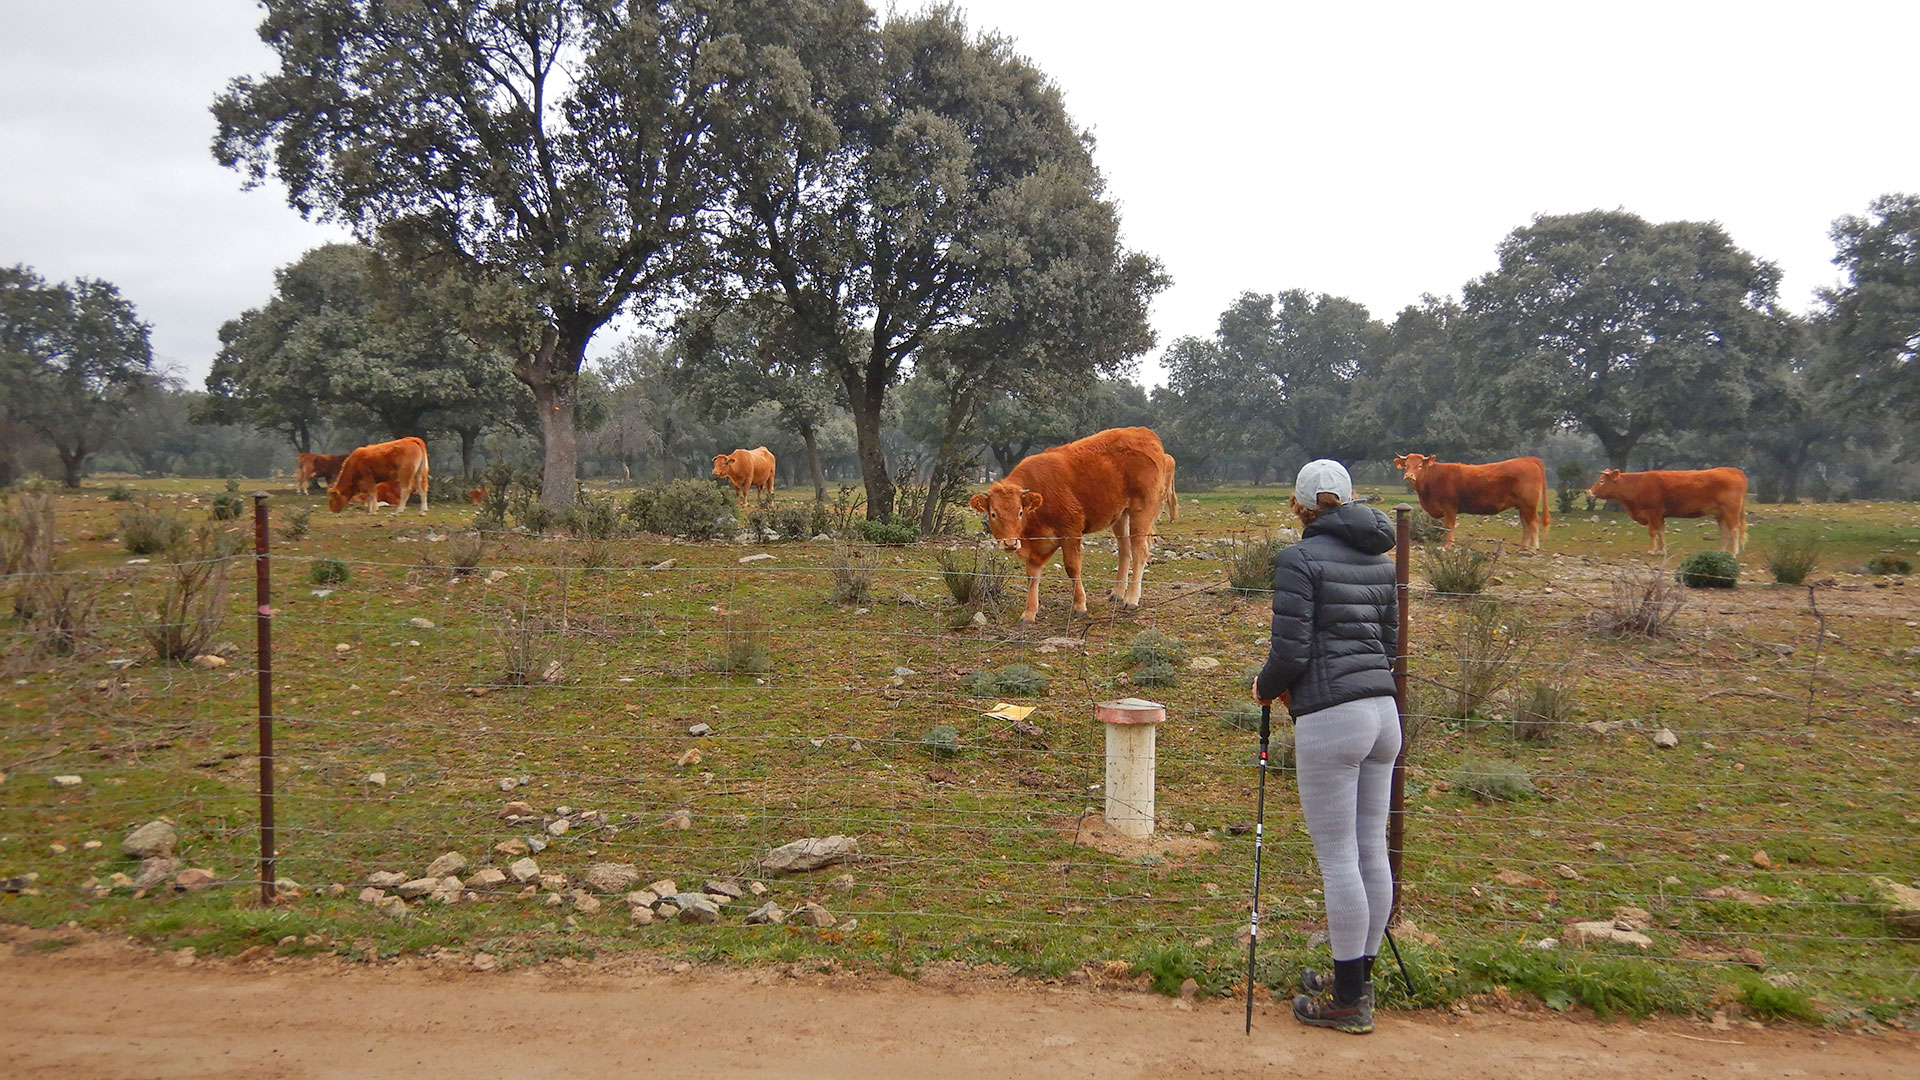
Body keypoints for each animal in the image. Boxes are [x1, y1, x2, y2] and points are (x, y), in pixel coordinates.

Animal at [967, 422, 1159, 618]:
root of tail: (1142, 432)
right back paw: (1118, 593)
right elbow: (1032, 574)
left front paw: (1079, 605)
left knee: (1139, 551)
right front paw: (1029, 613)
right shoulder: (1038, 542)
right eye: (993, 514)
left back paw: (1131, 598)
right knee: (1125, 550)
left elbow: (1072, 567)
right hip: (1121, 516)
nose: (1010, 543)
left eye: (1020, 512)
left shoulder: (1071, 531)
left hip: (1142, 511)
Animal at [1390, 451, 1551, 545]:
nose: (1409, 476)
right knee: (1526, 525)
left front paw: (1448, 545)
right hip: (1522, 507)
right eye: (1406, 465)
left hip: (1529, 505)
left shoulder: (1449, 507)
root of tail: (1527, 459)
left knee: (1533, 523)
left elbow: (1449, 526)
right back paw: (1523, 548)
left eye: (1419, 466)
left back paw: (1532, 549)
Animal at [1582, 465, 1751, 553]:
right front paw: (1662, 550)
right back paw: (1720, 551)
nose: (1589, 492)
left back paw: (1733, 553)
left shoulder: (1653, 512)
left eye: (1602, 481)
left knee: (1734, 530)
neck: (1638, 483)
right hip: (1720, 514)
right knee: (1725, 532)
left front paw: (1652, 550)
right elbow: (1661, 532)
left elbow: (1653, 532)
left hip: (1731, 511)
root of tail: (1732, 470)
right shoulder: (1661, 515)